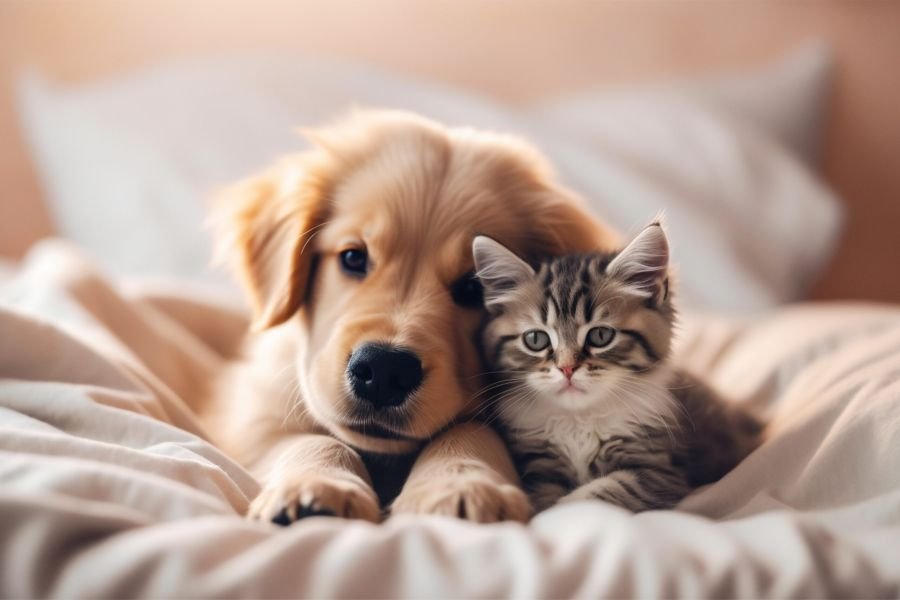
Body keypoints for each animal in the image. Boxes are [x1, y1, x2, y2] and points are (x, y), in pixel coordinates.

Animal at [200, 110, 616, 524]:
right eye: (353, 257)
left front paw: (458, 484)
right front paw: (316, 485)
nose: (385, 370)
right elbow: (308, 439)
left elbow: (469, 430)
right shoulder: (253, 413)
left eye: (474, 288)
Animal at [474, 223, 764, 512]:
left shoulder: (662, 473)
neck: (579, 418)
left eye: (601, 336)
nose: (567, 369)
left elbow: (590, 497)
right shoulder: (539, 468)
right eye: (536, 339)